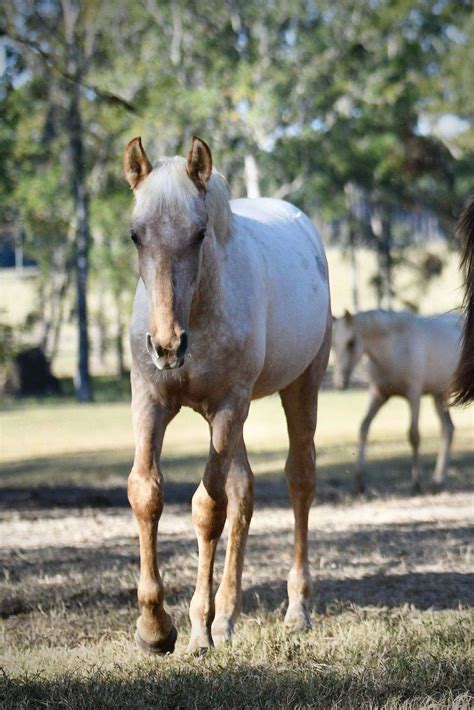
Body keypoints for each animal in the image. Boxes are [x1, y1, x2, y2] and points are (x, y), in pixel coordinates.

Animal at [124, 135, 331, 655]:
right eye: (136, 235)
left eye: (199, 235)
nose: (167, 346)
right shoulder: (150, 400)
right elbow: (146, 492)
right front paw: (155, 628)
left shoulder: (226, 406)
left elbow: (207, 508)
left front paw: (197, 627)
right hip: (233, 418)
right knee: (243, 491)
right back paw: (223, 619)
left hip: (299, 389)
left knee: (299, 480)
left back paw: (294, 610)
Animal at [332, 309, 462, 494]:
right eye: (333, 344)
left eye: (351, 342)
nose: (340, 383)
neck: (394, 348)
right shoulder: (378, 395)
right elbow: (364, 428)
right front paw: (359, 483)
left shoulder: (414, 394)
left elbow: (414, 435)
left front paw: (416, 483)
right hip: (439, 396)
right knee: (448, 430)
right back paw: (438, 480)